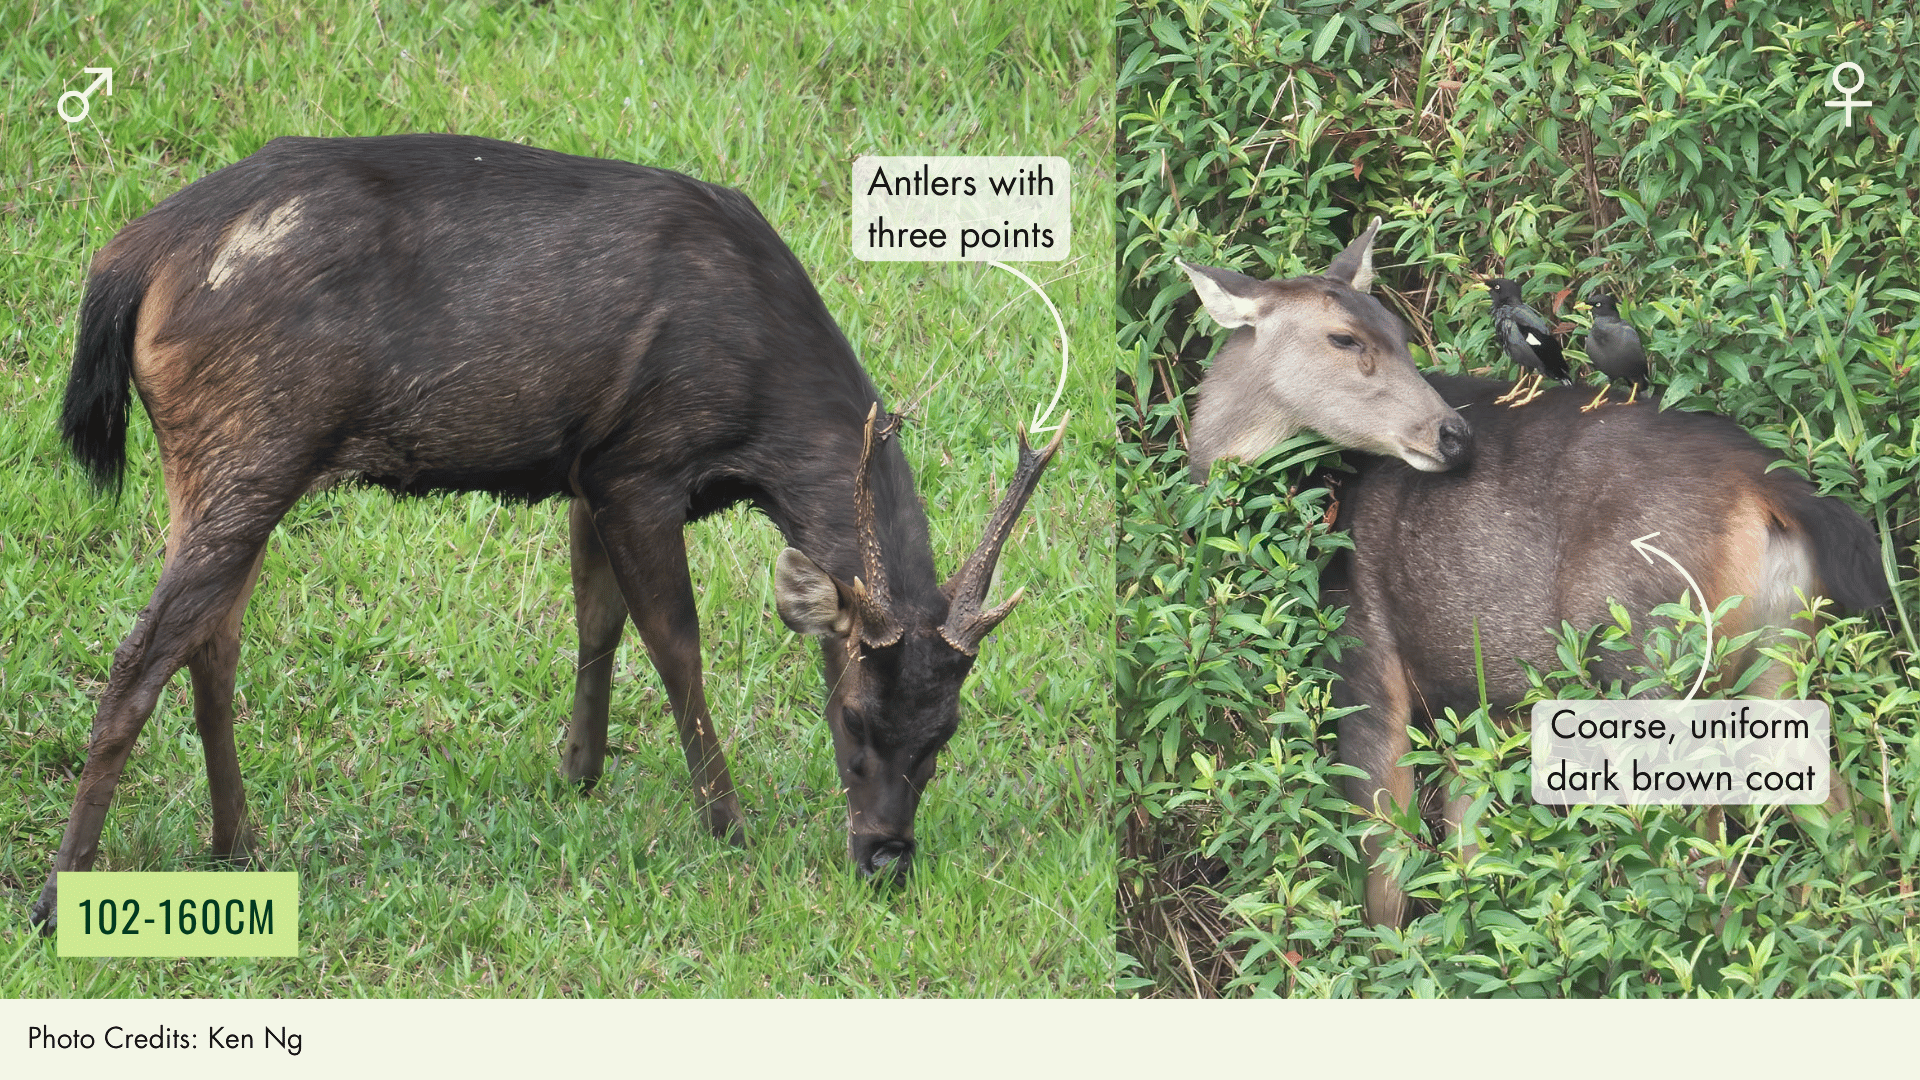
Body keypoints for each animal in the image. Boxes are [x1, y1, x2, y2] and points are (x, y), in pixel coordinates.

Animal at [32, 133, 1063, 930]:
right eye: (851, 714)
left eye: (948, 729)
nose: (887, 857)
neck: (759, 415)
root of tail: (130, 260)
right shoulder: (639, 464)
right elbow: (676, 643)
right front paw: (727, 824)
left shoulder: (586, 466)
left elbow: (595, 617)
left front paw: (578, 769)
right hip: (248, 444)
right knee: (144, 651)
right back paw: (60, 892)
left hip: (235, 464)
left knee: (210, 645)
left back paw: (236, 844)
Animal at [1179, 218, 1891, 928]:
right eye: (1344, 336)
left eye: (1401, 335)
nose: (1453, 435)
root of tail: (1772, 488)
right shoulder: (1473, 701)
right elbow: (1466, 852)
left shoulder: (1363, 654)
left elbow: (1383, 874)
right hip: (1778, 654)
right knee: (1847, 823)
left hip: (1650, 658)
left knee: (1708, 857)